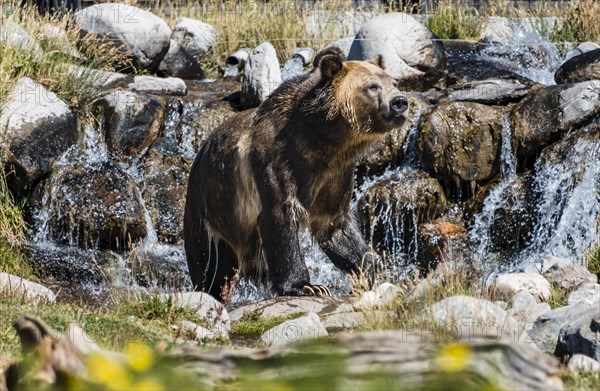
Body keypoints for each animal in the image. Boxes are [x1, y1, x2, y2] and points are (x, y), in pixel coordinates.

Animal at [184, 53, 408, 298]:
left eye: (394, 82)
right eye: (372, 86)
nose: (400, 102)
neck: (323, 140)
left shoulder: (336, 174)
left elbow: (336, 226)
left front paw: (377, 271)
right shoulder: (278, 160)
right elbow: (280, 215)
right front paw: (306, 285)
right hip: (211, 210)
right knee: (210, 268)